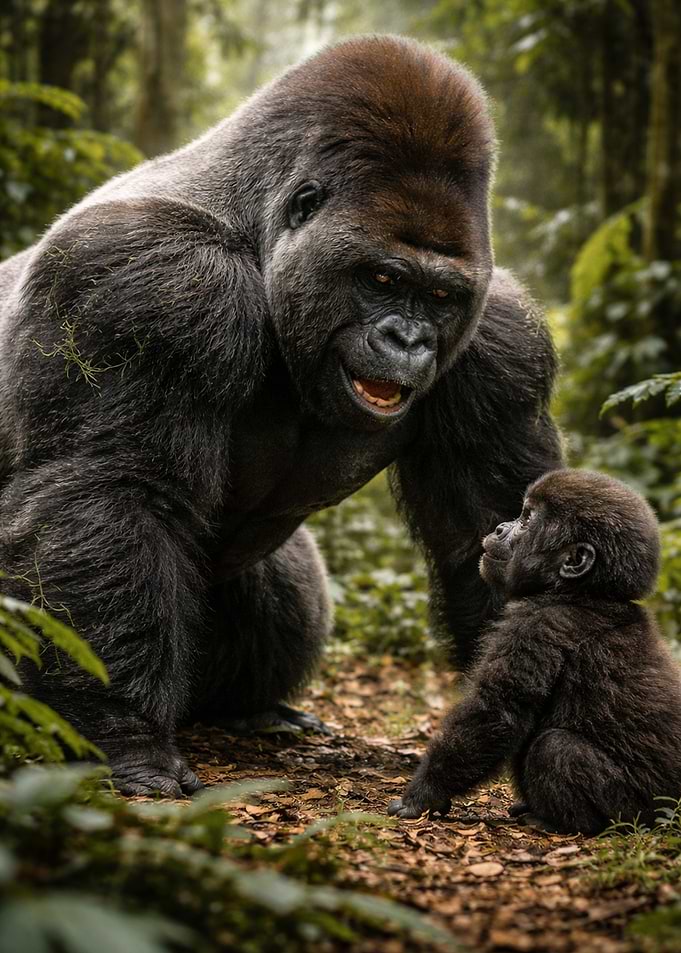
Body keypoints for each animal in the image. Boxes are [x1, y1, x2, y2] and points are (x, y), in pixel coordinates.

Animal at [0, 35, 561, 796]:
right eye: (382, 278)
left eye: (442, 296)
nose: (408, 340)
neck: (255, 232)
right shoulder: (144, 279)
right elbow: (114, 493)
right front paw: (122, 732)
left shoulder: (500, 339)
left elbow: (498, 530)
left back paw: (253, 709)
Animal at [389, 469, 681, 835]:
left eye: (527, 519)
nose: (500, 528)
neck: (582, 592)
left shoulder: (534, 625)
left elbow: (496, 712)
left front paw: (424, 794)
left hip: (639, 807)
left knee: (554, 748)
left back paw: (558, 822)